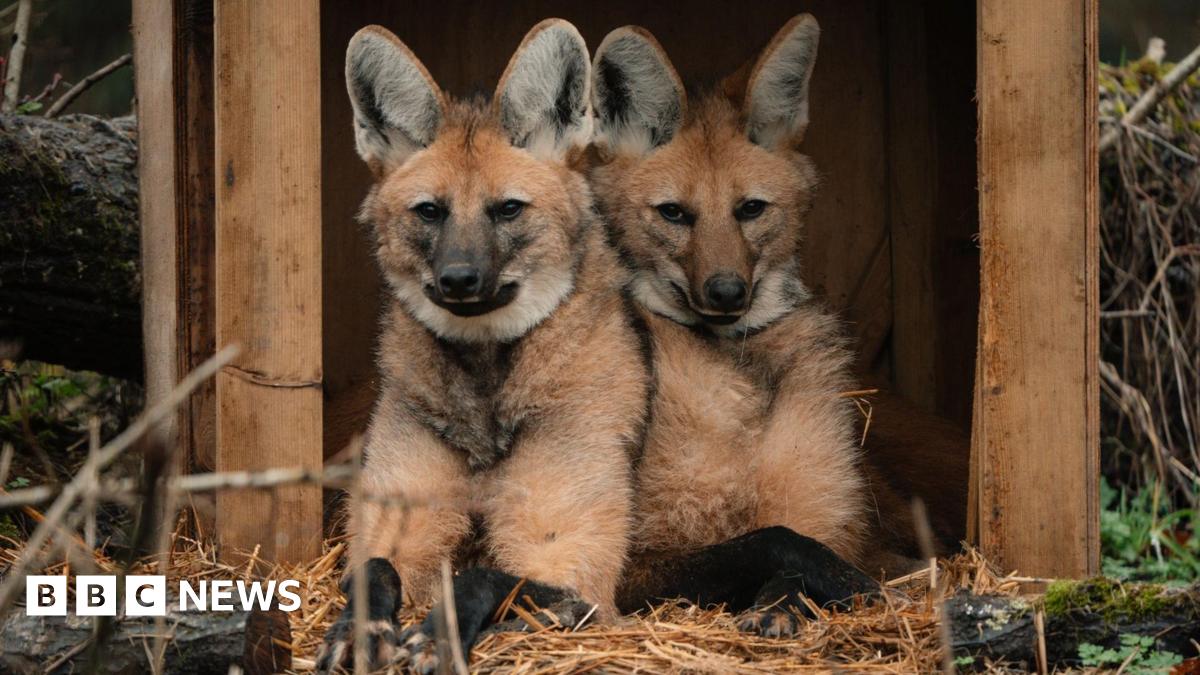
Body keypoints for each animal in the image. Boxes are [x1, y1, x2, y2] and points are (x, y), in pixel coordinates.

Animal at [317, 19, 649, 672]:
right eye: (430, 212)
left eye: (507, 209)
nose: (459, 280)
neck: (485, 395)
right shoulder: (396, 522)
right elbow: (376, 567)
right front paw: (358, 631)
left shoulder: (573, 565)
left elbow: (486, 576)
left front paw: (434, 637)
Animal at [590, 15, 964, 635]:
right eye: (673, 214)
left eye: (750, 209)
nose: (725, 292)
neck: (740, 376)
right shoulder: (628, 570)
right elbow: (773, 540)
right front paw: (817, 590)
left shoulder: (844, 525)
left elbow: (809, 542)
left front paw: (794, 601)